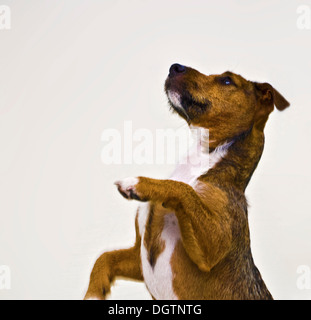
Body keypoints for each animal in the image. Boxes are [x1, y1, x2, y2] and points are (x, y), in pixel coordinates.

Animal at [84, 63, 290, 300]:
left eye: (227, 80)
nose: (175, 66)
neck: (201, 161)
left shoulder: (213, 248)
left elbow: (182, 188)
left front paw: (139, 183)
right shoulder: (138, 258)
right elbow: (104, 257)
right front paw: (93, 292)